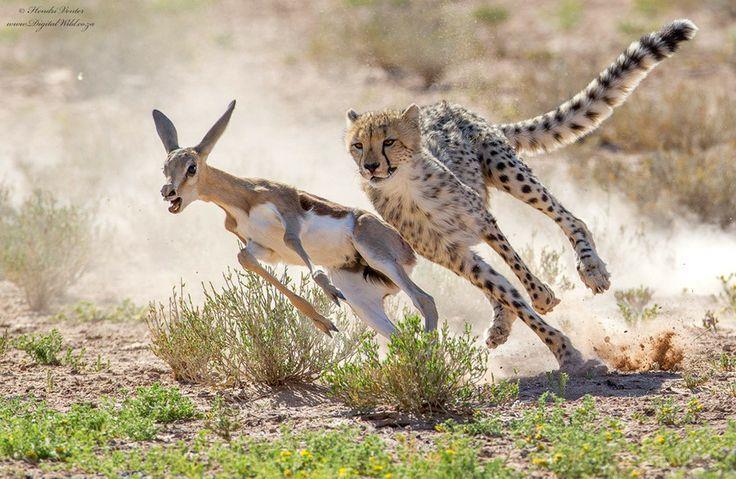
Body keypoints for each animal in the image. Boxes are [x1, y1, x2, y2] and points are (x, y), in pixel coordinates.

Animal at [151, 101, 436, 338]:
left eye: (191, 168)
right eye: (165, 168)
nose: (168, 192)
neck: (244, 200)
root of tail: (408, 250)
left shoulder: (290, 218)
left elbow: (301, 252)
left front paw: (330, 295)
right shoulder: (263, 249)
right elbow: (244, 258)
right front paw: (323, 322)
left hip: (374, 252)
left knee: (425, 301)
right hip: (360, 298)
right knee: (399, 335)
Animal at [342, 19, 700, 376]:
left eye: (389, 141)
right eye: (358, 145)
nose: (370, 167)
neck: (407, 189)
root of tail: (450, 106)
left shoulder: (482, 220)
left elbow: (516, 265)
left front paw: (542, 296)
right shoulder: (454, 255)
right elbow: (505, 293)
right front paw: (563, 350)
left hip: (507, 170)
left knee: (571, 218)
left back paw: (591, 268)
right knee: (499, 286)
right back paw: (501, 324)